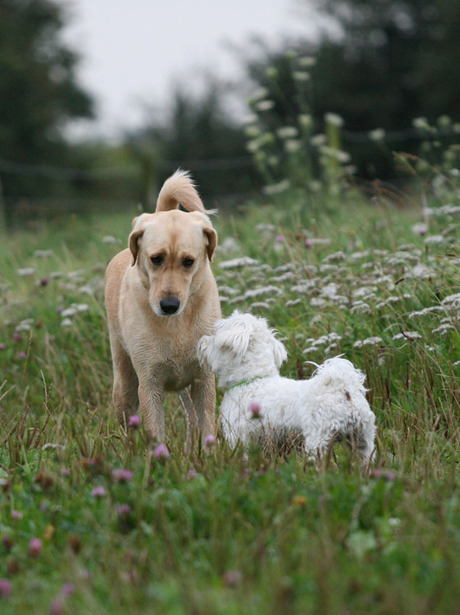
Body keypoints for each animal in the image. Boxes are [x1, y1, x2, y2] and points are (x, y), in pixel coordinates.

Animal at [199, 312, 378, 466]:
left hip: (319, 439)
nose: (202, 341)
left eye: (215, 335)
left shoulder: (239, 437)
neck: (252, 379)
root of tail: (344, 390)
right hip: (363, 439)